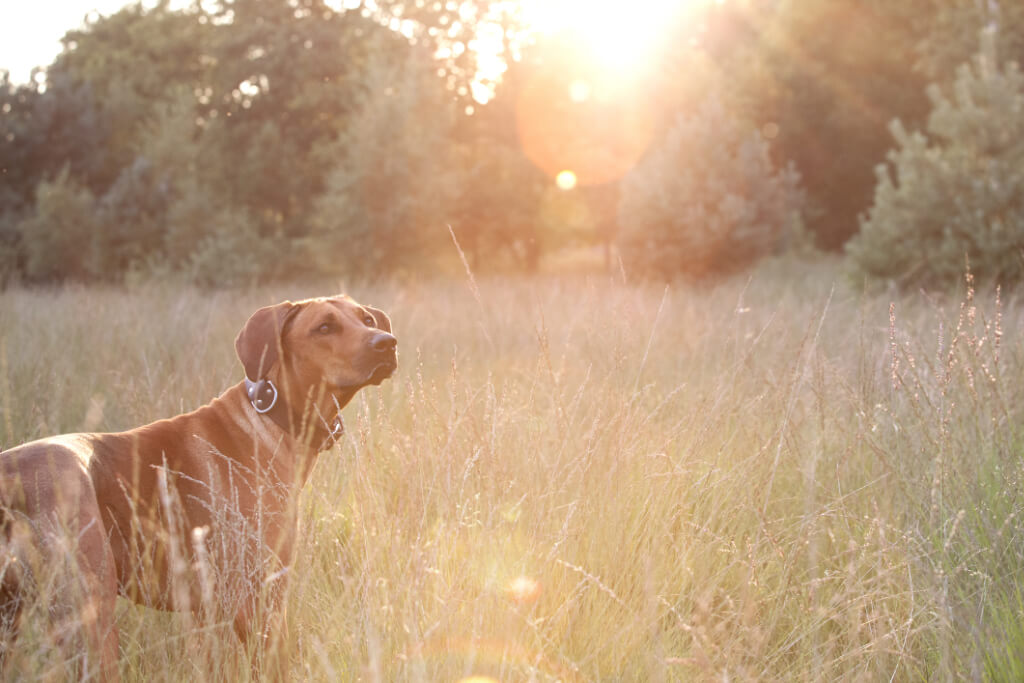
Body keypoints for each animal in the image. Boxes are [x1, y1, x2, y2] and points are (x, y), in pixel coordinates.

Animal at [0, 294, 395, 679]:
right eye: (324, 327)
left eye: (367, 320)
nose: (387, 343)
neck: (270, 419)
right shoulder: (260, 604)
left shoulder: (208, 615)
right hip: (91, 620)